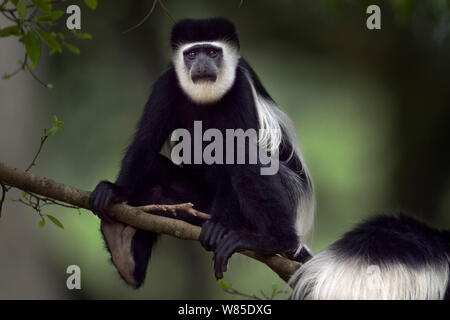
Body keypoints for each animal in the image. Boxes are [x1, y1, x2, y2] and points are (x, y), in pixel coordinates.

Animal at [87, 16, 312, 288]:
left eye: (213, 52)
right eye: (192, 54)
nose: (203, 64)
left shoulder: (240, 89)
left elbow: (240, 153)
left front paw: (218, 226)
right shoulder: (167, 84)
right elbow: (146, 141)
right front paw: (115, 191)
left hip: (288, 194)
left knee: (250, 165)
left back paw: (275, 240)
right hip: (197, 205)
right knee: (154, 177)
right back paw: (124, 255)